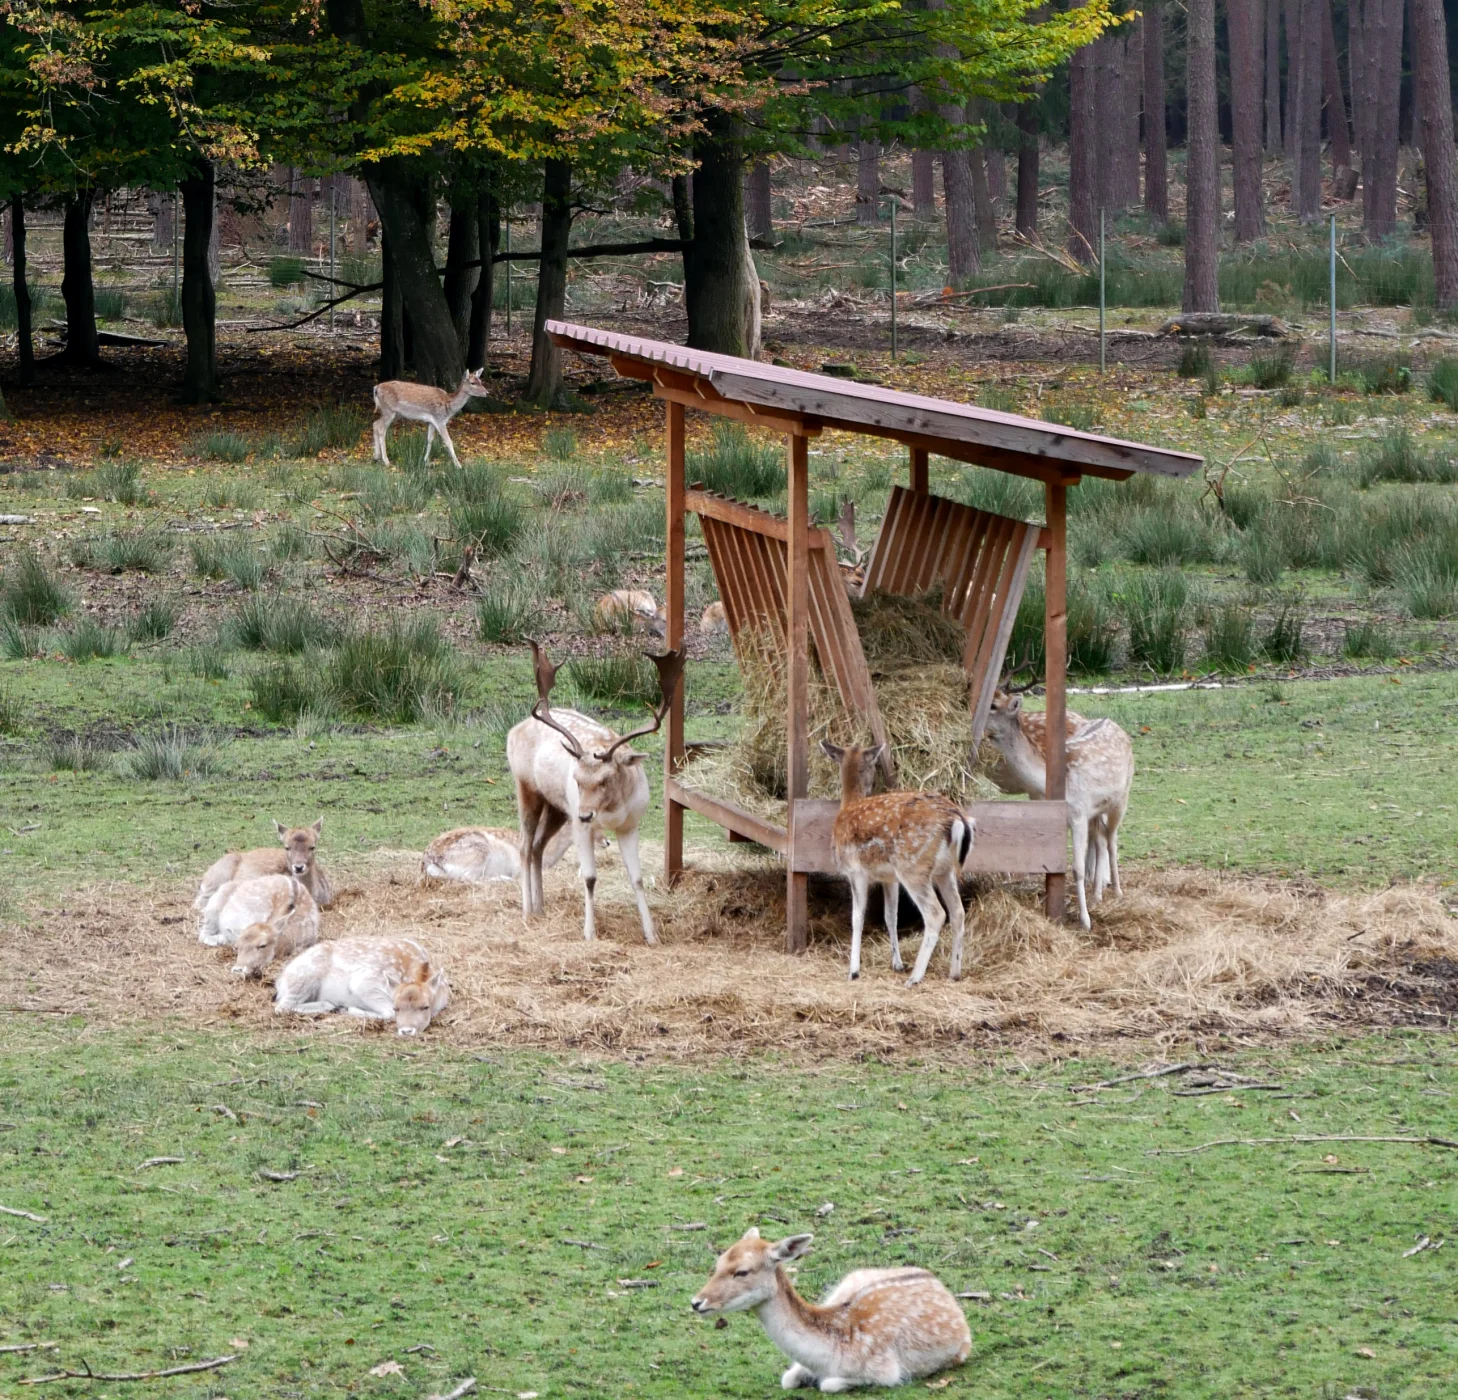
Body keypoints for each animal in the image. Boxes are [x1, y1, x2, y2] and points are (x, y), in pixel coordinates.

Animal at [274, 937, 449, 1036]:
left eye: (425, 1006)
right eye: (396, 1007)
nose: (406, 1030)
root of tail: (280, 982)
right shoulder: (364, 981)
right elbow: (388, 1013)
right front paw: (350, 1009)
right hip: (303, 978)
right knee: (282, 1006)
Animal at [507, 640, 684, 945]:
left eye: (606, 779)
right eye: (577, 780)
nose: (586, 814)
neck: (611, 810)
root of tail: (513, 730)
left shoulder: (630, 825)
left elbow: (637, 878)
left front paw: (652, 936)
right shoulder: (581, 826)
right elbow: (589, 877)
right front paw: (590, 933)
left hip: (558, 808)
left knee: (539, 845)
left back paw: (541, 909)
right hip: (528, 788)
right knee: (524, 845)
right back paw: (528, 911)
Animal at [691, 1228, 971, 1393]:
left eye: (742, 1272)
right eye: (718, 1263)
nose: (697, 1302)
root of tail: (939, 1284)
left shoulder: (887, 1372)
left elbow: (829, 1384)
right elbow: (787, 1379)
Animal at [820, 740, 974, 984]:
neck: (848, 805)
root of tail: (957, 820)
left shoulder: (856, 871)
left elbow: (857, 918)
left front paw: (853, 971)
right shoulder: (889, 878)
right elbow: (891, 916)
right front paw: (897, 963)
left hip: (912, 867)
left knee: (936, 914)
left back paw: (915, 977)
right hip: (945, 870)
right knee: (958, 911)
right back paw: (954, 972)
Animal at [983, 688, 1134, 930]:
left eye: (994, 706)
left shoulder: (1078, 814)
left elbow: (1077, 868)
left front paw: (1085, 921)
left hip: (1123, 796)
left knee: (1112, 838)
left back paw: (1117, 891)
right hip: (1098, 808)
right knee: (1102, 837)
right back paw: (1097, 895)